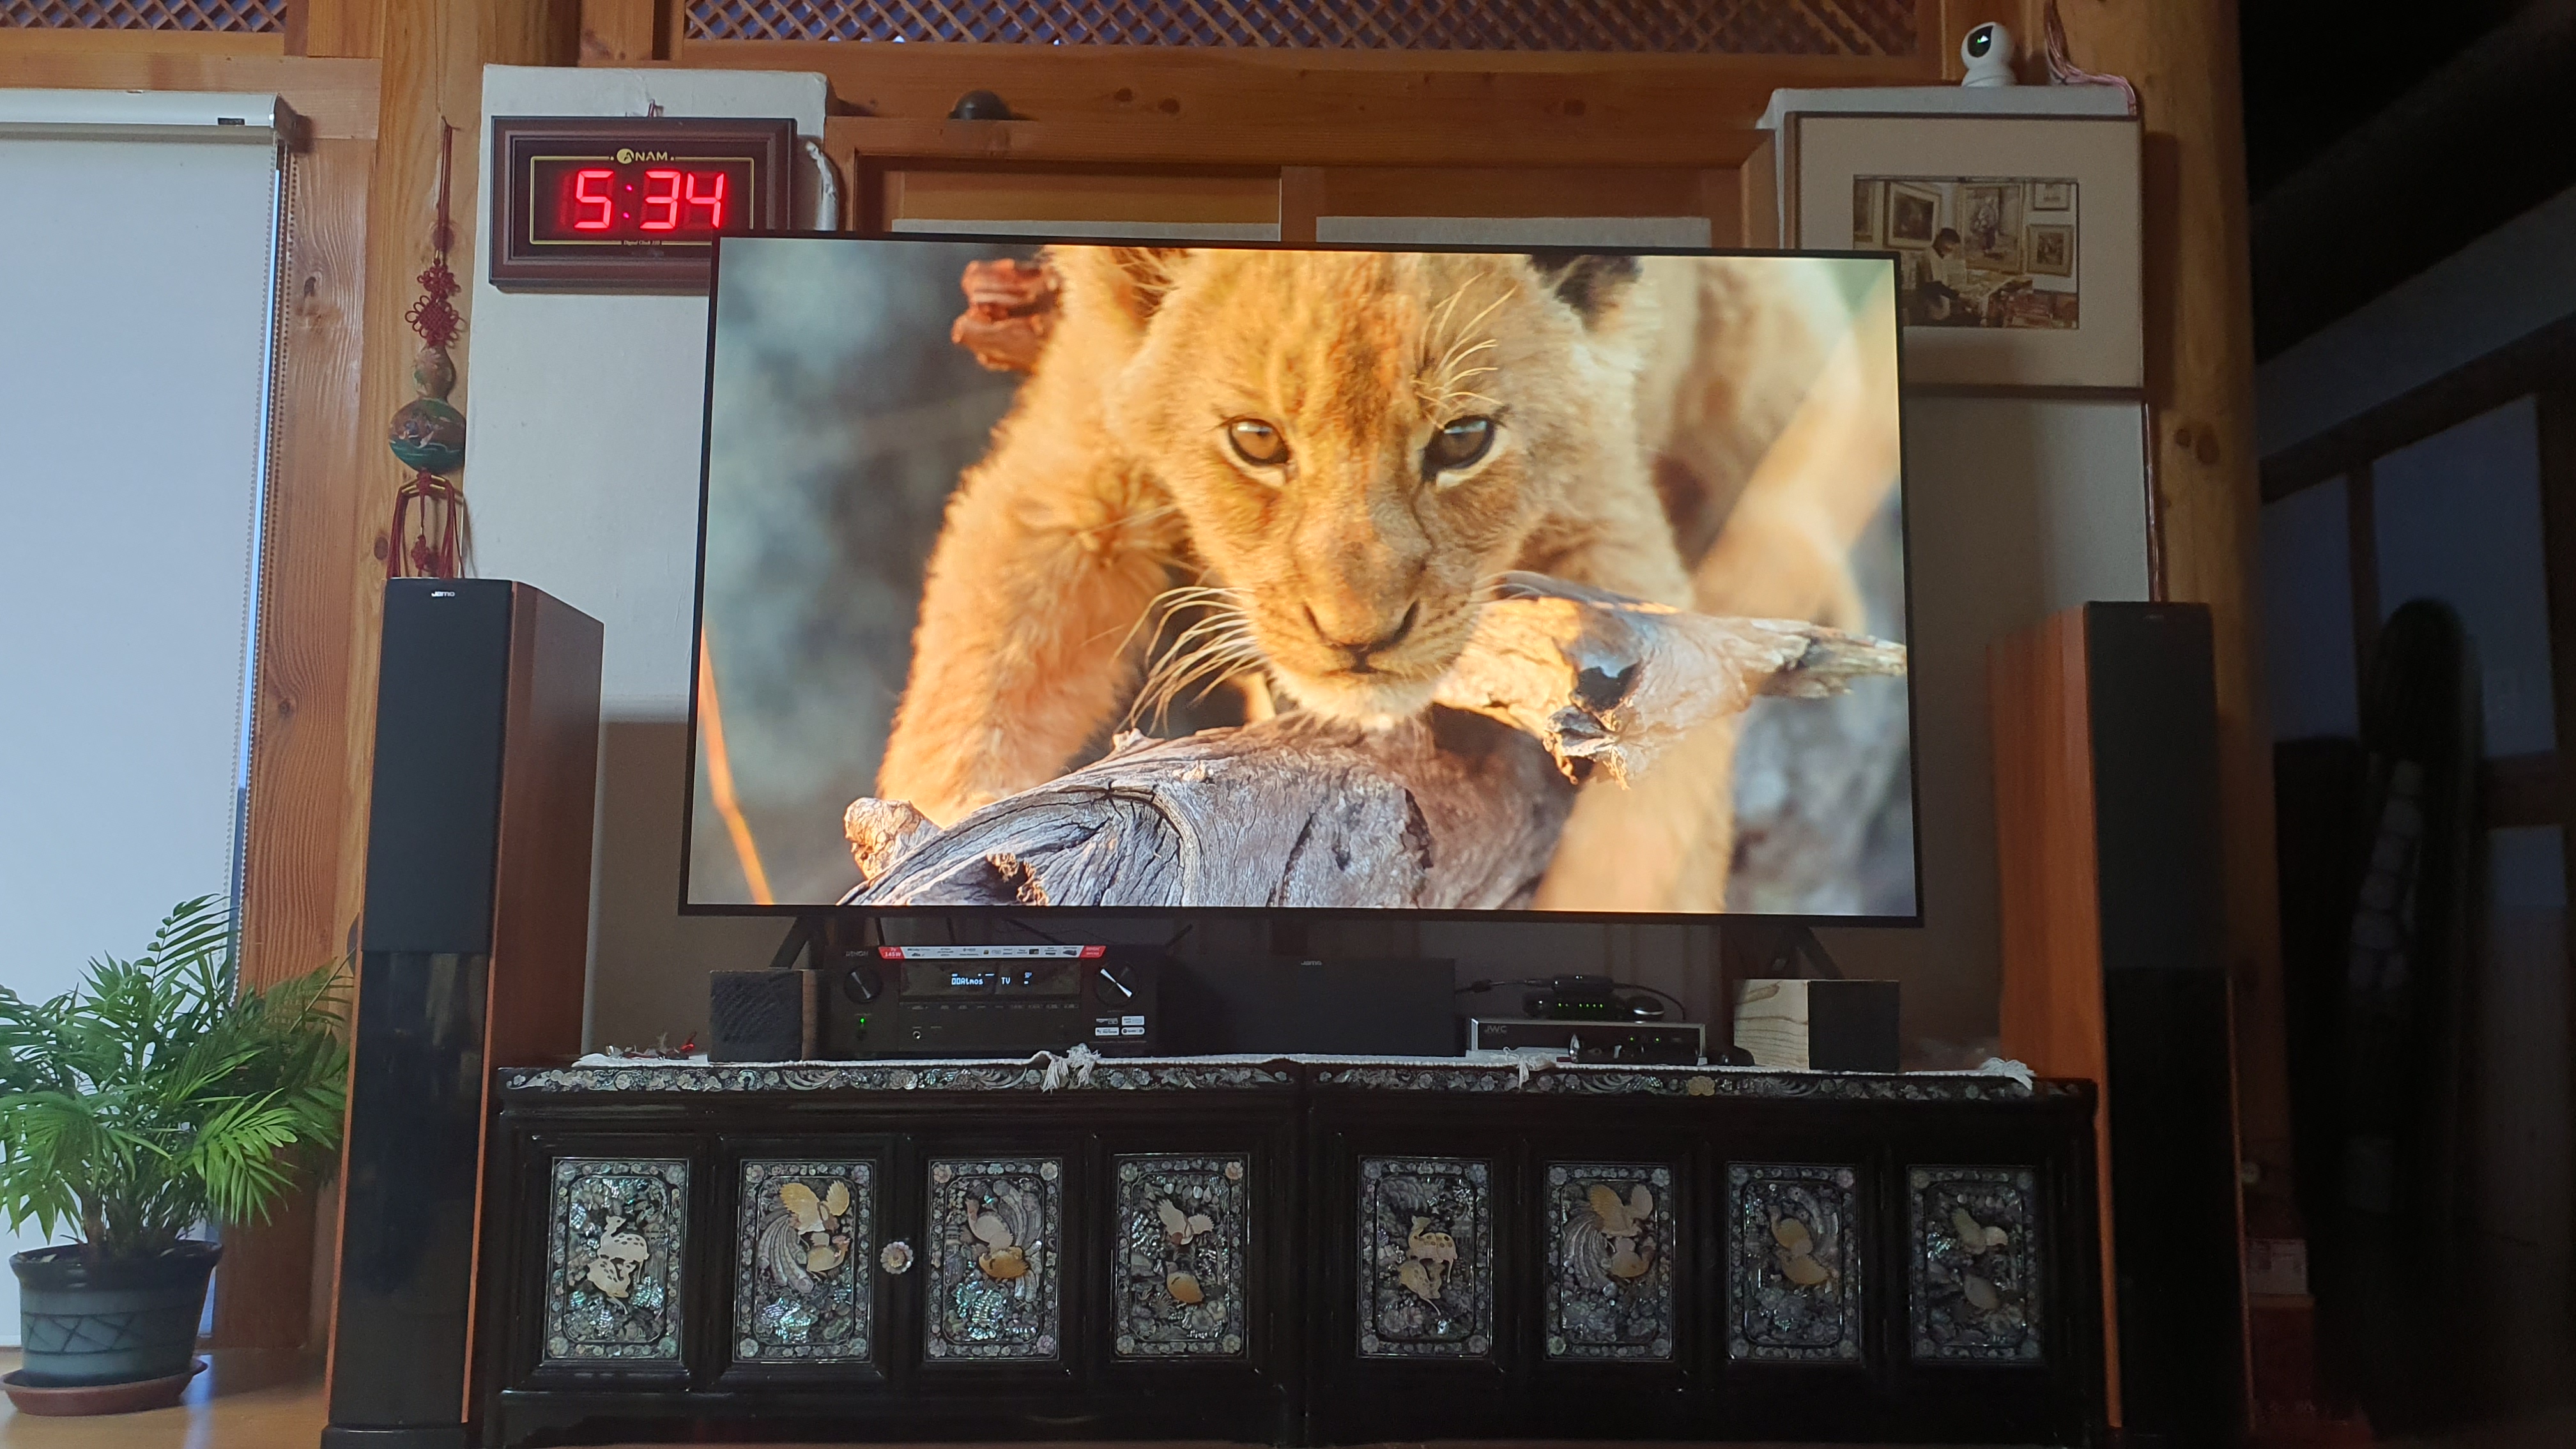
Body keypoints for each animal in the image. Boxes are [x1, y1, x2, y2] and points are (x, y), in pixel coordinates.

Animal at [874, 244, 1896, 911]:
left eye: (1464, 439)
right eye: (1255, 440)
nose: (1358, 638)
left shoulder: (1615, 534)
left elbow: (1652, 824)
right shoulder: (1067, 486)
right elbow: (978, 692)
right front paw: (943, 841)